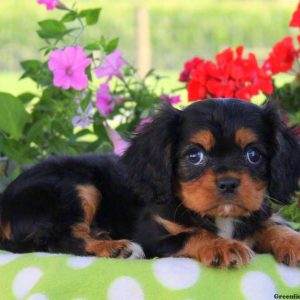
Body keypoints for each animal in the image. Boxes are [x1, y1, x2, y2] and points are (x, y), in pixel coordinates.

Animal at [0, 99, 300, 268]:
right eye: (195, 155)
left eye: (253, 155)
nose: (228, 183)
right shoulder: (153, 235)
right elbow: (193, 233)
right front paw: (223, 246)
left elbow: (276, 226)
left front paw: (292, 242)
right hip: (78, 187)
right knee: (59, 240)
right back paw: (116, 248)